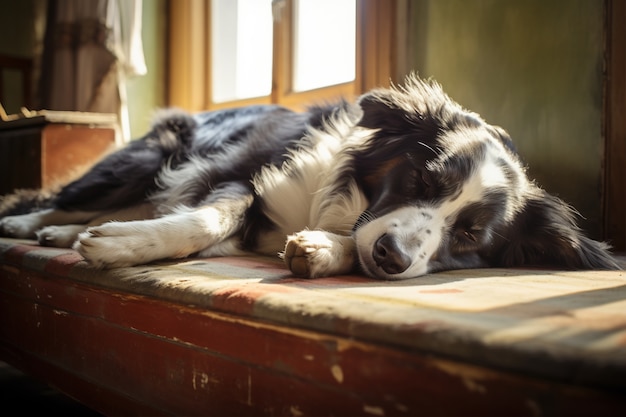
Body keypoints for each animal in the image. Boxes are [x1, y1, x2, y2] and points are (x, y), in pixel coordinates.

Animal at [0, 75, 616, 280]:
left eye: (467, 235)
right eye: (420, 181)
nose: (392, 256)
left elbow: (349, 242)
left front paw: (321, 250)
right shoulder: (237, 172)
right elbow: (205, 219)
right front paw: (128, 246)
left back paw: (60, 234)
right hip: (141, 163)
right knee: (56, 198)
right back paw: (34, 225)